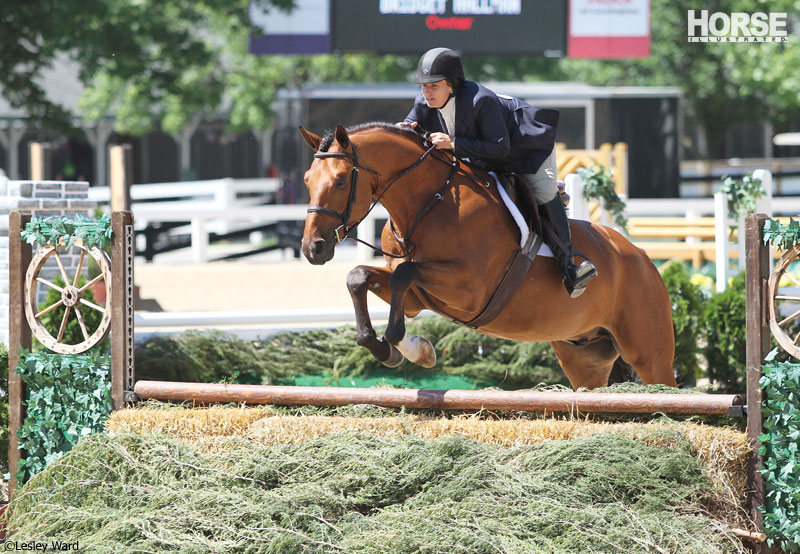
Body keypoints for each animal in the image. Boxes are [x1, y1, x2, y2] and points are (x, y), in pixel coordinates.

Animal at [299, 122, 677, 390]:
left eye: (341, 180)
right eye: (307, 180)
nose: (312, 248)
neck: (429, 202)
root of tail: (643, 258)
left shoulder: (469, 290)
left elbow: (403, 277)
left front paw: (411, 349)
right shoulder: (416, 298)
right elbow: (362, 277)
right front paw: (393, 350)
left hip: (649, 354)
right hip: (583, 355)